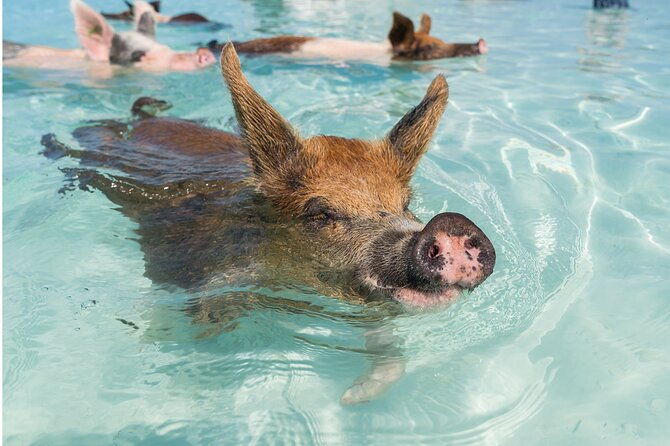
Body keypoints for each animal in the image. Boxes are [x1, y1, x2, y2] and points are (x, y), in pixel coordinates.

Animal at [41, 44, 496, 403]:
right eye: (320, 214)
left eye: (406, 204)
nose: (451, 223)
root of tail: (145, 123)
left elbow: (387, 349)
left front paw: (353, 398)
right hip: (98, 142)